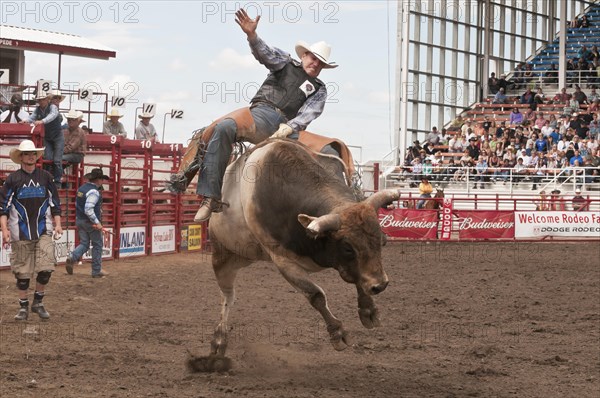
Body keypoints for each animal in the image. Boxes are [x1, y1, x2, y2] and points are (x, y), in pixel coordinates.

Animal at [189, 138, 398, 372]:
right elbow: (316, 295)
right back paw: (218, 343)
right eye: (347, 247)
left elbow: (358, 277)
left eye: (381, 240)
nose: (381, 285)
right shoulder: (283, 262)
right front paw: (338, 333)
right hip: (222, 256)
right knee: (227, 297)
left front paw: (368, 311)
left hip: (244, 256)